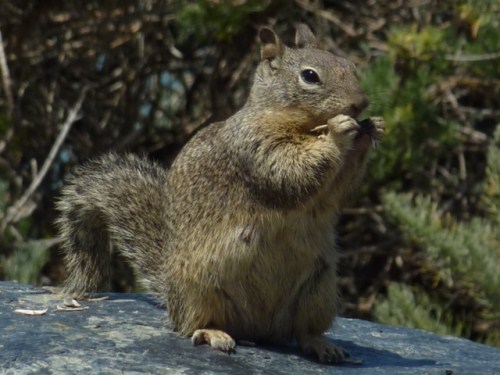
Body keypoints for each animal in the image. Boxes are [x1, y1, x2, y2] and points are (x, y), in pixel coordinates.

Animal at [56, 24, 384, 364]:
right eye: (309, 76)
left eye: (349, 65)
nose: (360, 103)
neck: (301, 125)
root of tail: (259, 330)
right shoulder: (254, 148)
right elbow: (291, 172)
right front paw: (339, 132)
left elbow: (337, 189)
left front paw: (372, 129)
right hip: (201, 289)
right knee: (191, 325)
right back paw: (214, 334)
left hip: (318, 291)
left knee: (303, 331)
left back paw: (322, 345)